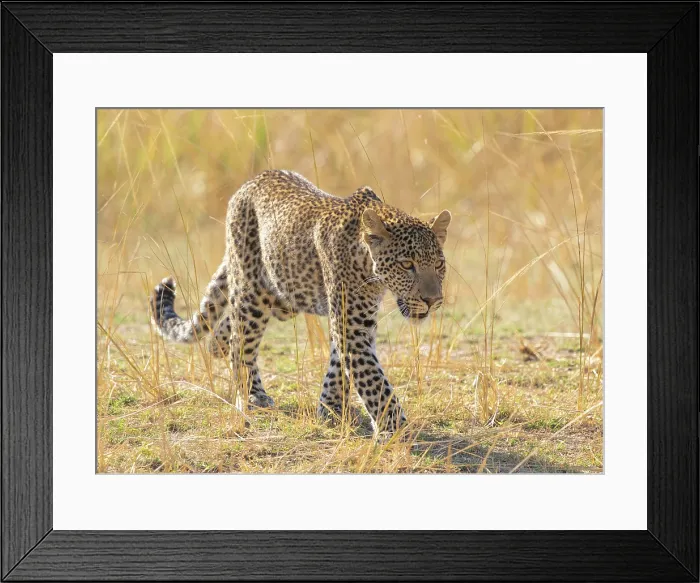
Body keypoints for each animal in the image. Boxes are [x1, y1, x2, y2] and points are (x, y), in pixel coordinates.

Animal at [150, 170, 451, 437]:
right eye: (407, 265)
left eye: (438, 264)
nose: (433, 300)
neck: (368, 264)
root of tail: (251, 181)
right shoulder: (351, 324)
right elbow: (373, 380)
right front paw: (394, 429)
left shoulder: (355, 319)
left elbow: (340, 365)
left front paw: (331, 408)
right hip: (254, 290)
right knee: (241, 342)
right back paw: (252, 396)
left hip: (284, 295)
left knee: (227, 330)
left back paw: (226, 357)